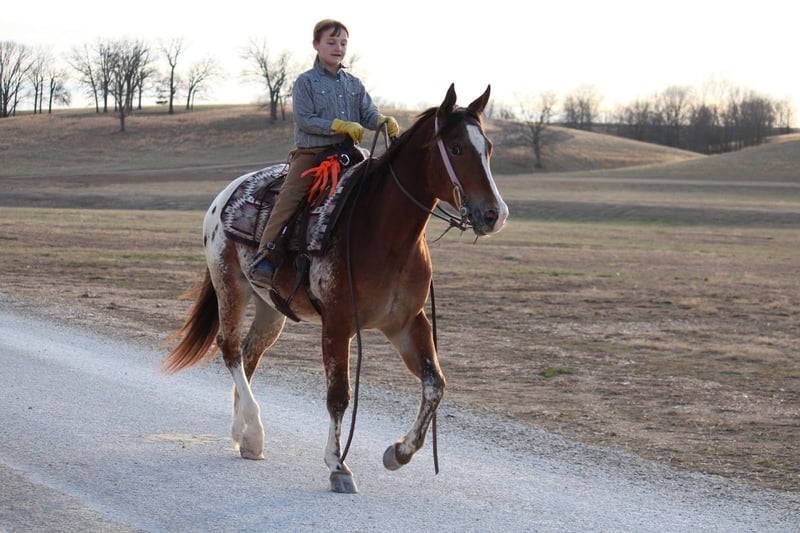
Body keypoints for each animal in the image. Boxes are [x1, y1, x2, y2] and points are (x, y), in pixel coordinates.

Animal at [162, 84, 509, 493]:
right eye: (455, 148)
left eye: (487, 147)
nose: (495, 214)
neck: (385, 233)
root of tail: (223, 197)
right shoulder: (338, 323)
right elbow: (339, 396)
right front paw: (338, 465)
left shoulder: (407, 323)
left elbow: (434, 384)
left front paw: (399, 452)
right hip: (230, 287)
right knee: (230, 349)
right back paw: (256, 431)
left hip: (270, 309)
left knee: (249, 355)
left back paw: (242, 434)